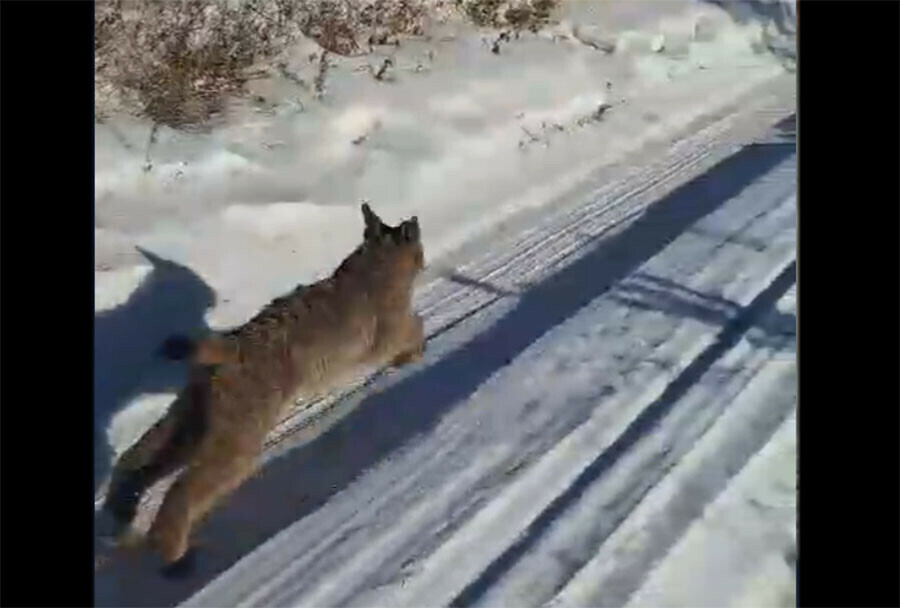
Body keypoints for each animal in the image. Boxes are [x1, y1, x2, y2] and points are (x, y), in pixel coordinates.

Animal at [103, 203, 428, 568]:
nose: (424, 260)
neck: (376, 260)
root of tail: (231, 343)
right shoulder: (386, 337)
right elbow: (415, 324)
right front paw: (413, 354)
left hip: (189, 423)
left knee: (133, 460)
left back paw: (120, 516)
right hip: (238, 442)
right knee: (181, 488)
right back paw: (172, 550)